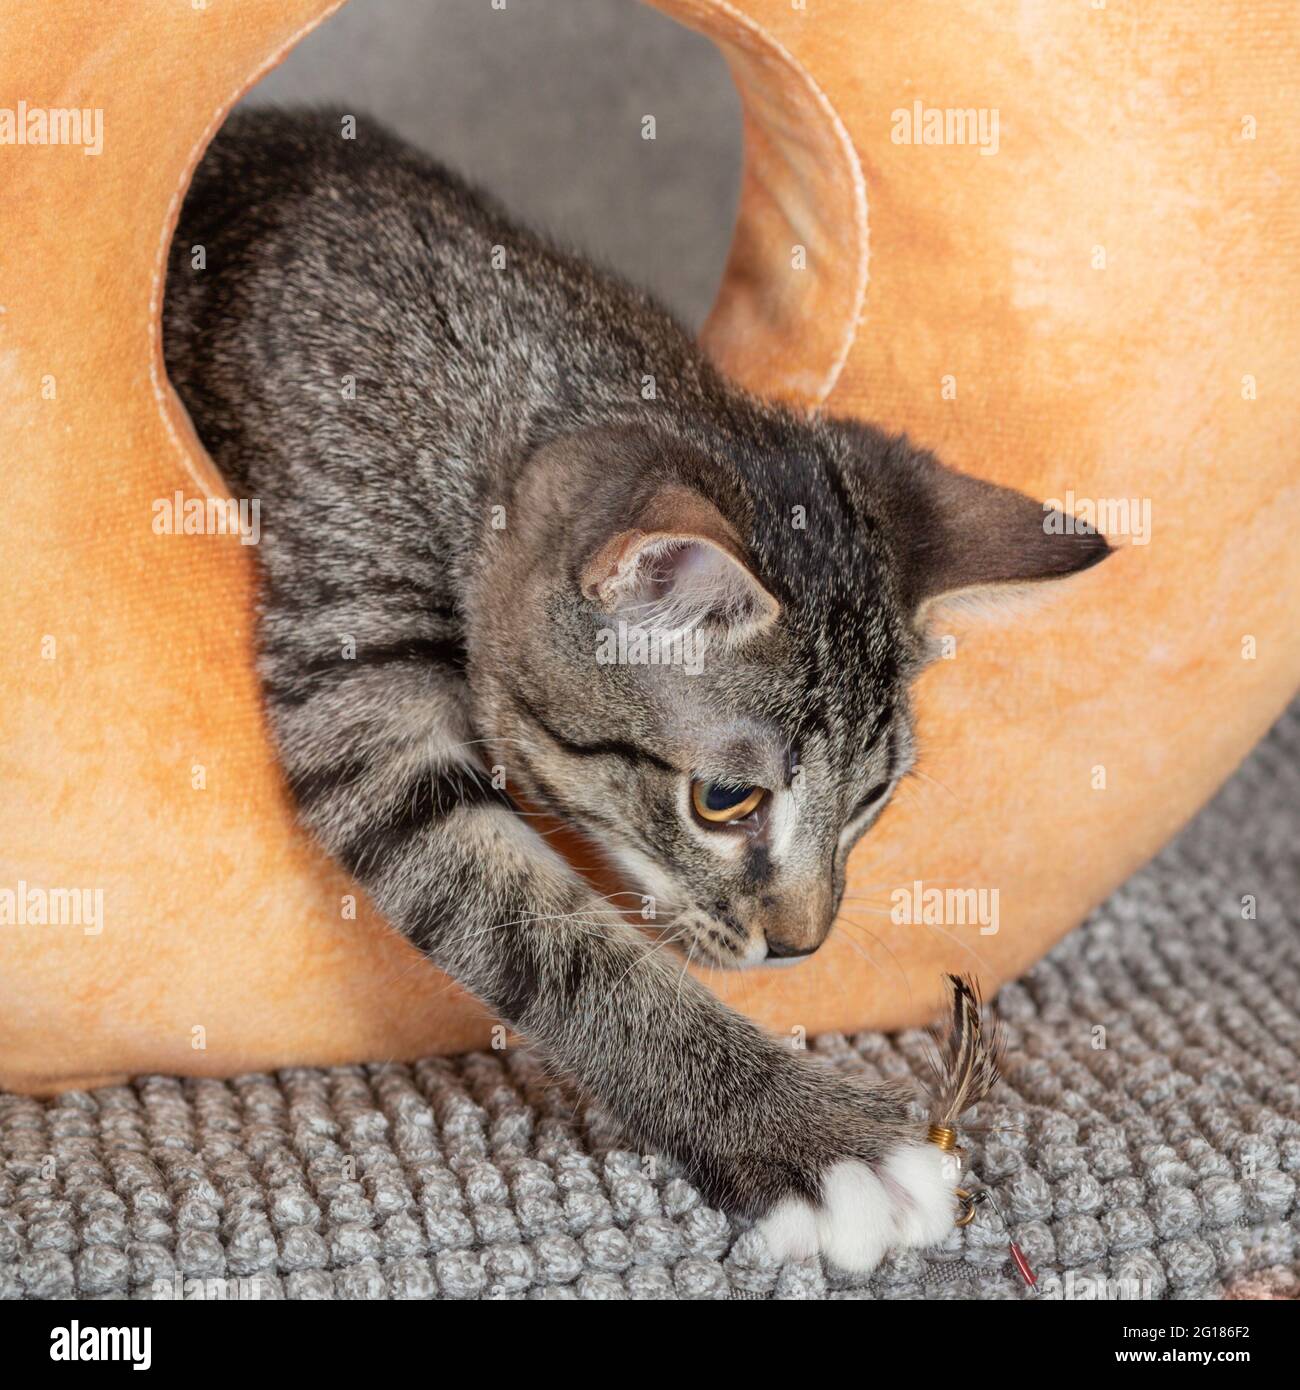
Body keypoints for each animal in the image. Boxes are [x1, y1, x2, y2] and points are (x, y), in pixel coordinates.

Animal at [162, 111, 1106, 1273]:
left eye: (872, 802)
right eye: (725, 801)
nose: (802, 944)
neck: (497, 377)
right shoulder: (360, 682)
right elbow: (562, 949)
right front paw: (809, 1137)